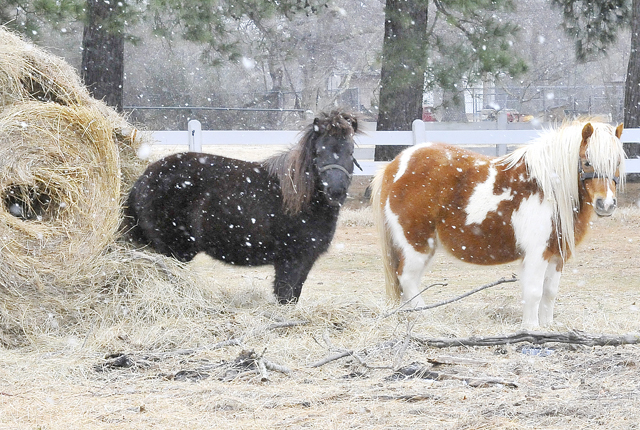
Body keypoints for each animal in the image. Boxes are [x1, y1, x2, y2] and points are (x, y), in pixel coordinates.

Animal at [123, 111, 359, 304]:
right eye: (318, 152)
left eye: (350, 152)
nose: (336, 191)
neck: (298, 198)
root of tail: (143, 179)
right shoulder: (292, 260)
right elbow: (285, 297)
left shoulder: (304, 261)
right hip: (172, 251)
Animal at [370, 120, 625, 328]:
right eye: (587, 161)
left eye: (618, 162)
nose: (606, 204)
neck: (547, 188)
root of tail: (395, 166)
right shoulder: (537, 253)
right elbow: (534, 292)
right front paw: (530, 328)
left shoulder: (556, 255)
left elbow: (550, 292)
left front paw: (547, 326)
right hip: (416, 244)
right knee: (407, 279)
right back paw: (425, 318)